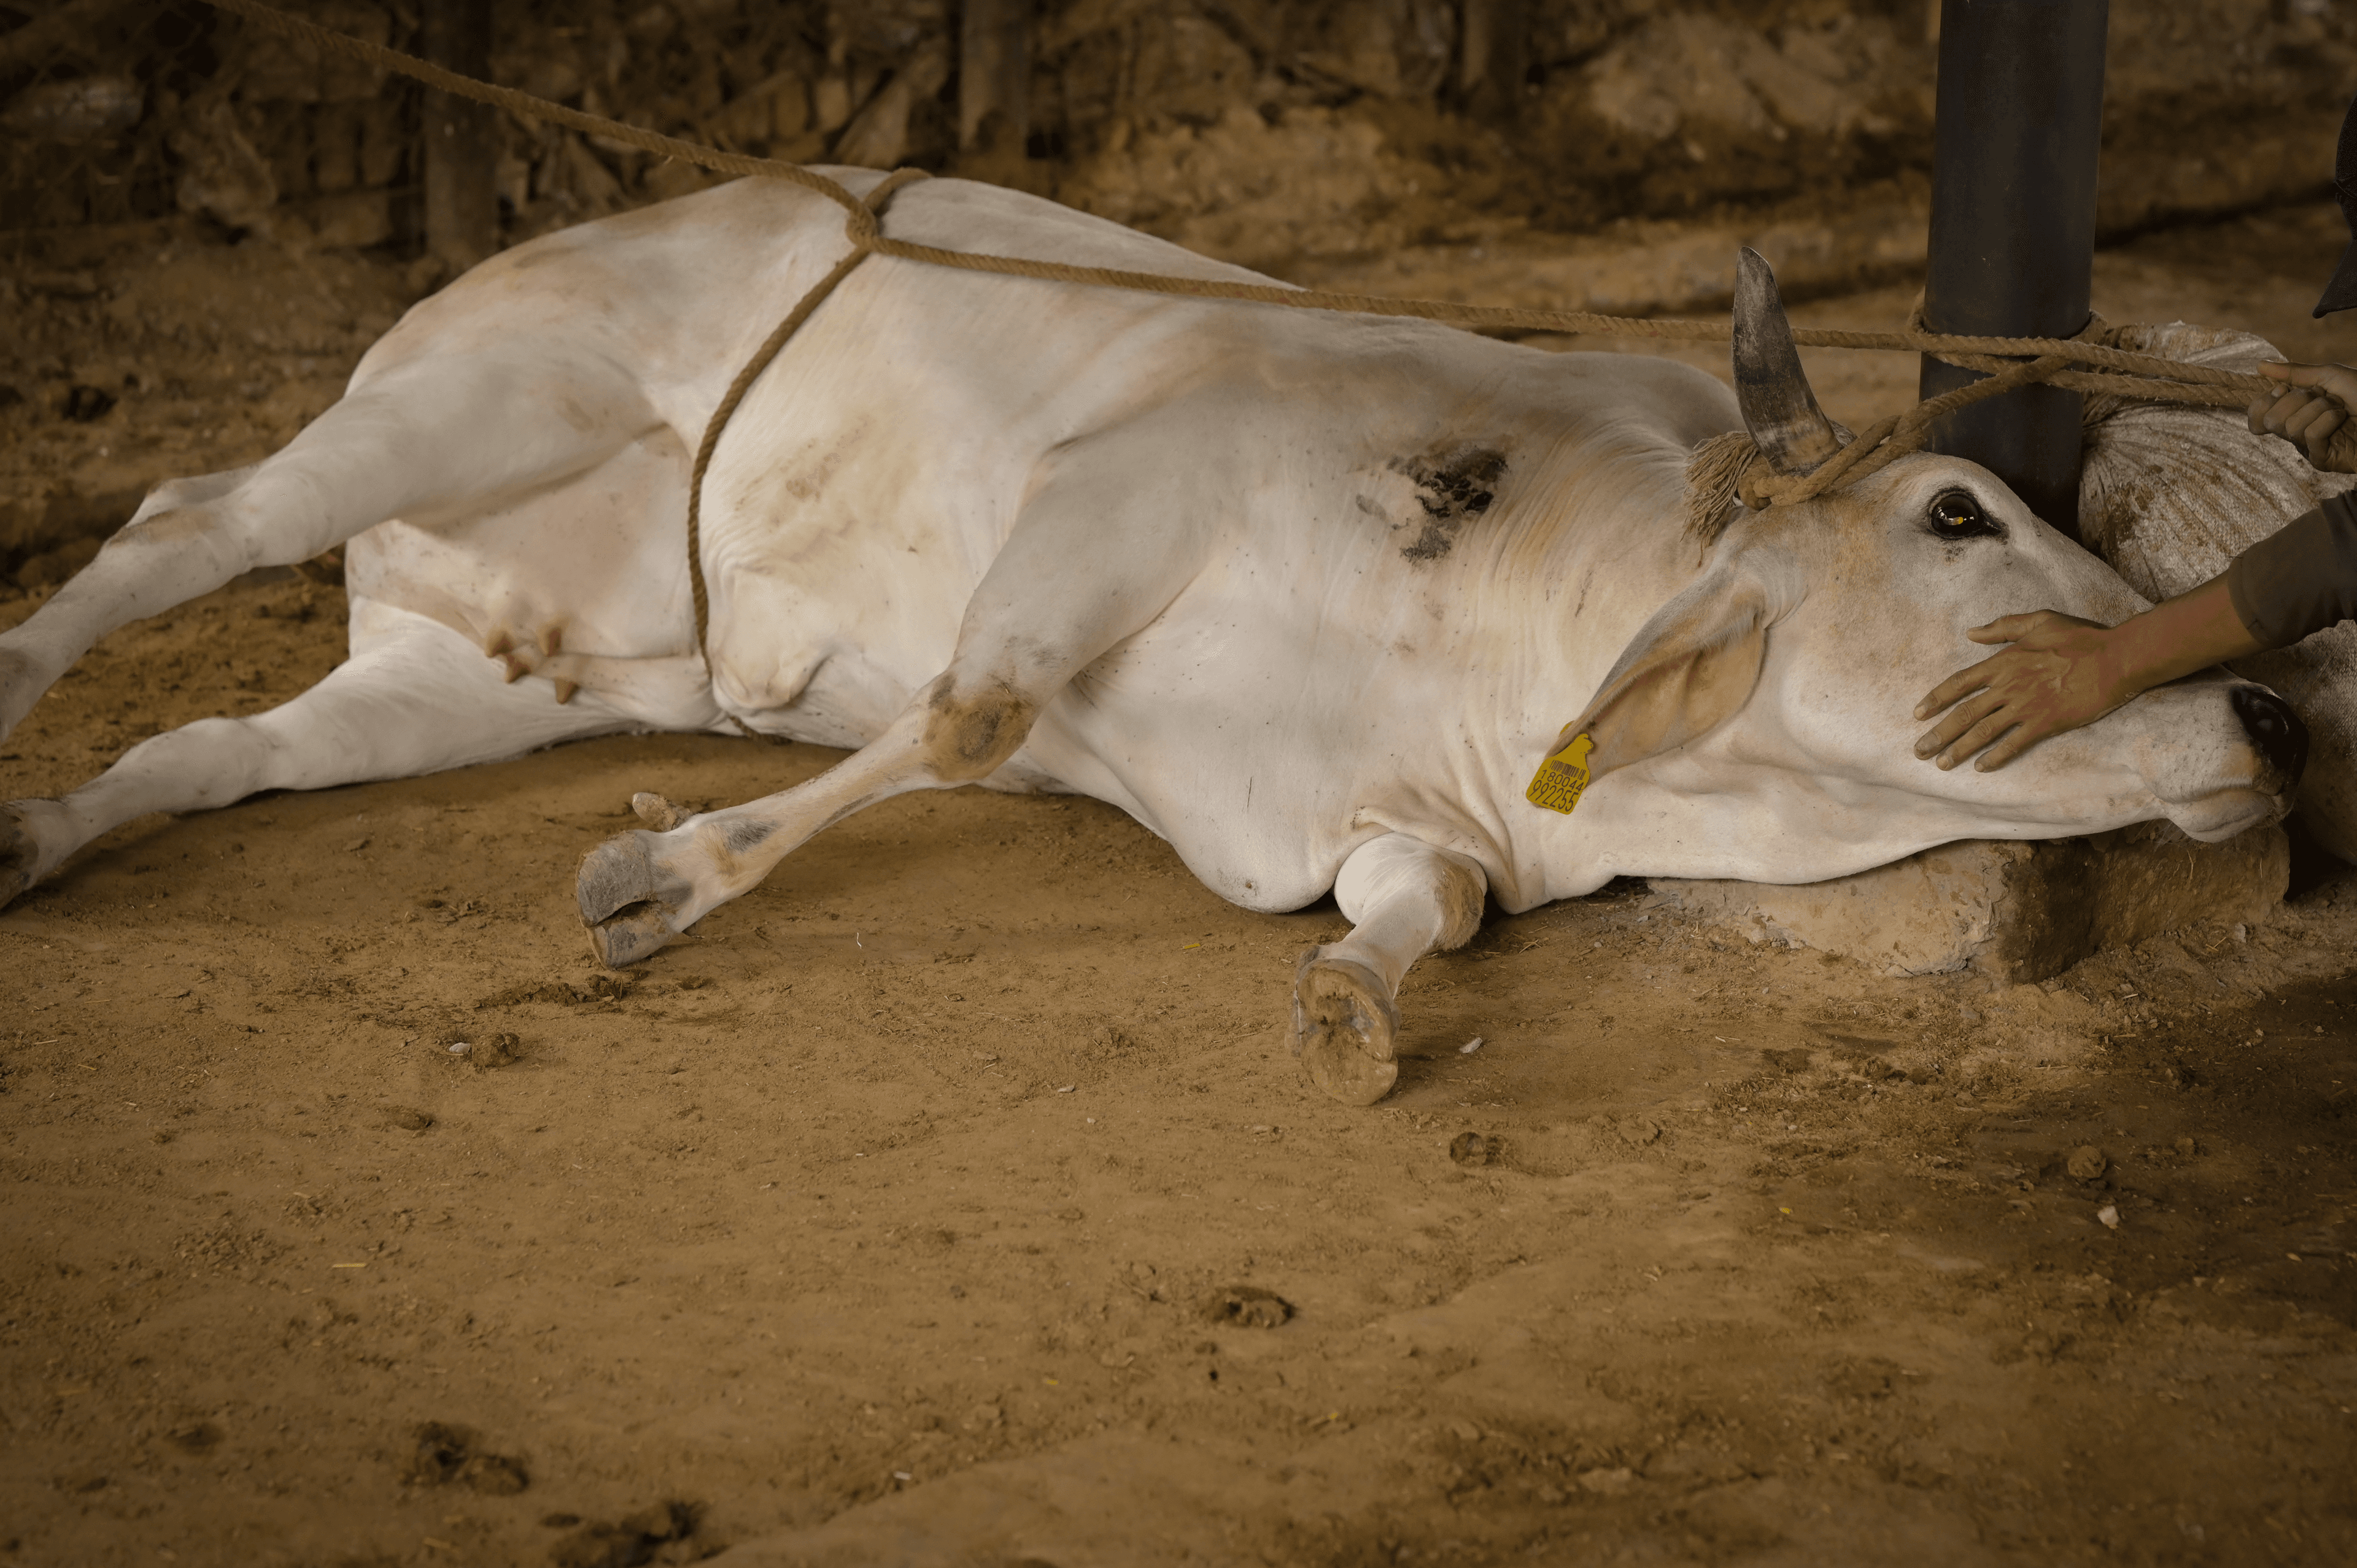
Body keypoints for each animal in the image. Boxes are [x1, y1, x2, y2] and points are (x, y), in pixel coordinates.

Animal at [0, 171, 2305, 1104]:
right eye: (1957, 509)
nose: (2261, 714)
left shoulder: (1407, 825)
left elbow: (1413, 915)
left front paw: (1350, 1007)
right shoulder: (1122, 490)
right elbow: (963, 711)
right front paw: (665, 869)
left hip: (489, 663)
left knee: (220, 747)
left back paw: (43, 829)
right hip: (485, 391)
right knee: (191, 519)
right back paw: (26, 691)